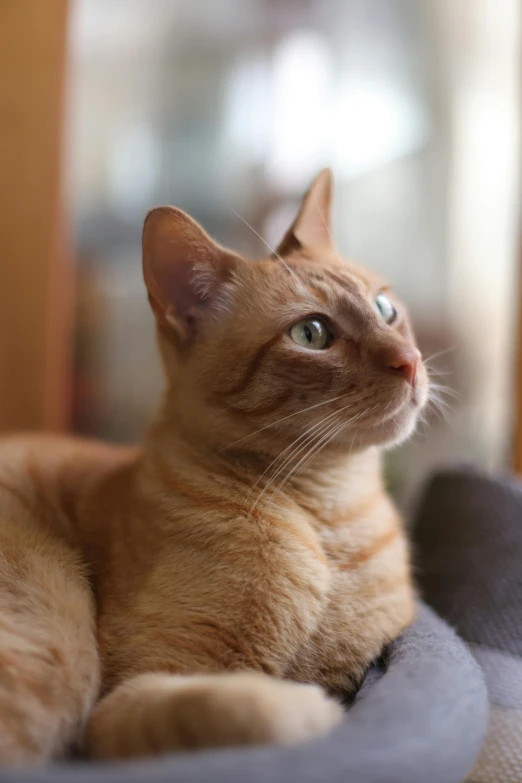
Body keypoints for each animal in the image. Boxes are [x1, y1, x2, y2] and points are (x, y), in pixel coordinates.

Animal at [0, 168, 426, 764]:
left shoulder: (359, 661)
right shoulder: (128, 698)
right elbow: (243, 706)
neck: (327, 517)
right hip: (57, 649)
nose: (410, 362)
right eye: (312, 334)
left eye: (386, 309)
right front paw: (318, 716)